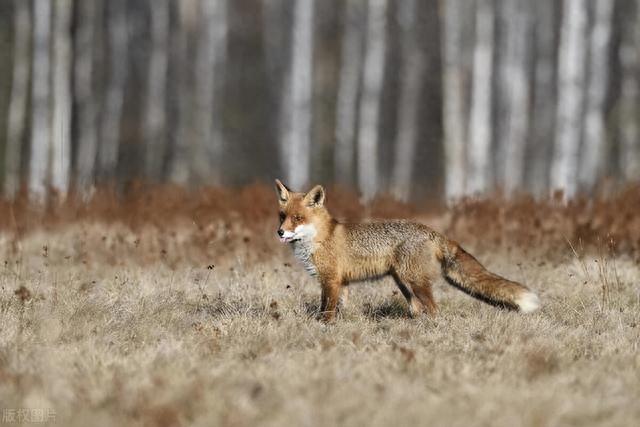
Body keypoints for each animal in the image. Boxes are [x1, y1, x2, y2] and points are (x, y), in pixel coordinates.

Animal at [276, 179, 540, 322]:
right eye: (282, 216)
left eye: (298, 218)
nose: (279, 232)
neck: (320, 238)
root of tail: (433, 231)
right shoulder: (340, 283)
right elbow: (336, 307)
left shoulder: (330, 280)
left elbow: (326, 310)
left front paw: (324, 327)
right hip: (403, 282)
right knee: (417, 309)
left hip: (414, 281)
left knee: (433, 309)